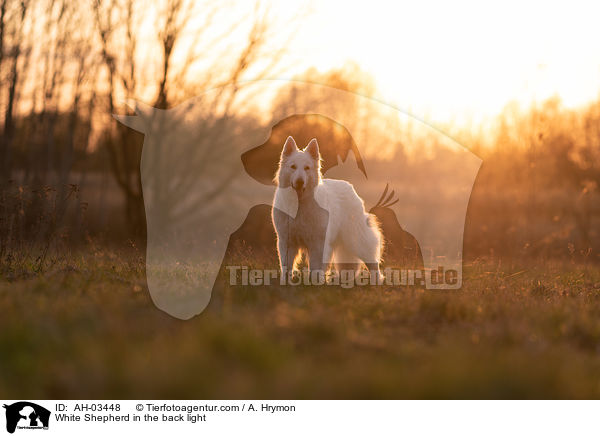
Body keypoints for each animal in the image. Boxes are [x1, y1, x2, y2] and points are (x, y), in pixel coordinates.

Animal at [274, 135, 384, 280]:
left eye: (307, 168)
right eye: (293, 167)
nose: (299, 182)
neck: (300, 205)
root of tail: (350, 186)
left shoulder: (317, 243)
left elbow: (315, 266)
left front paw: (316, 282)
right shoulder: (287, 241)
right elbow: (286, 266)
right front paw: (285, 282)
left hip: (357, 240)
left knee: (372, 262)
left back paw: (376, 280)